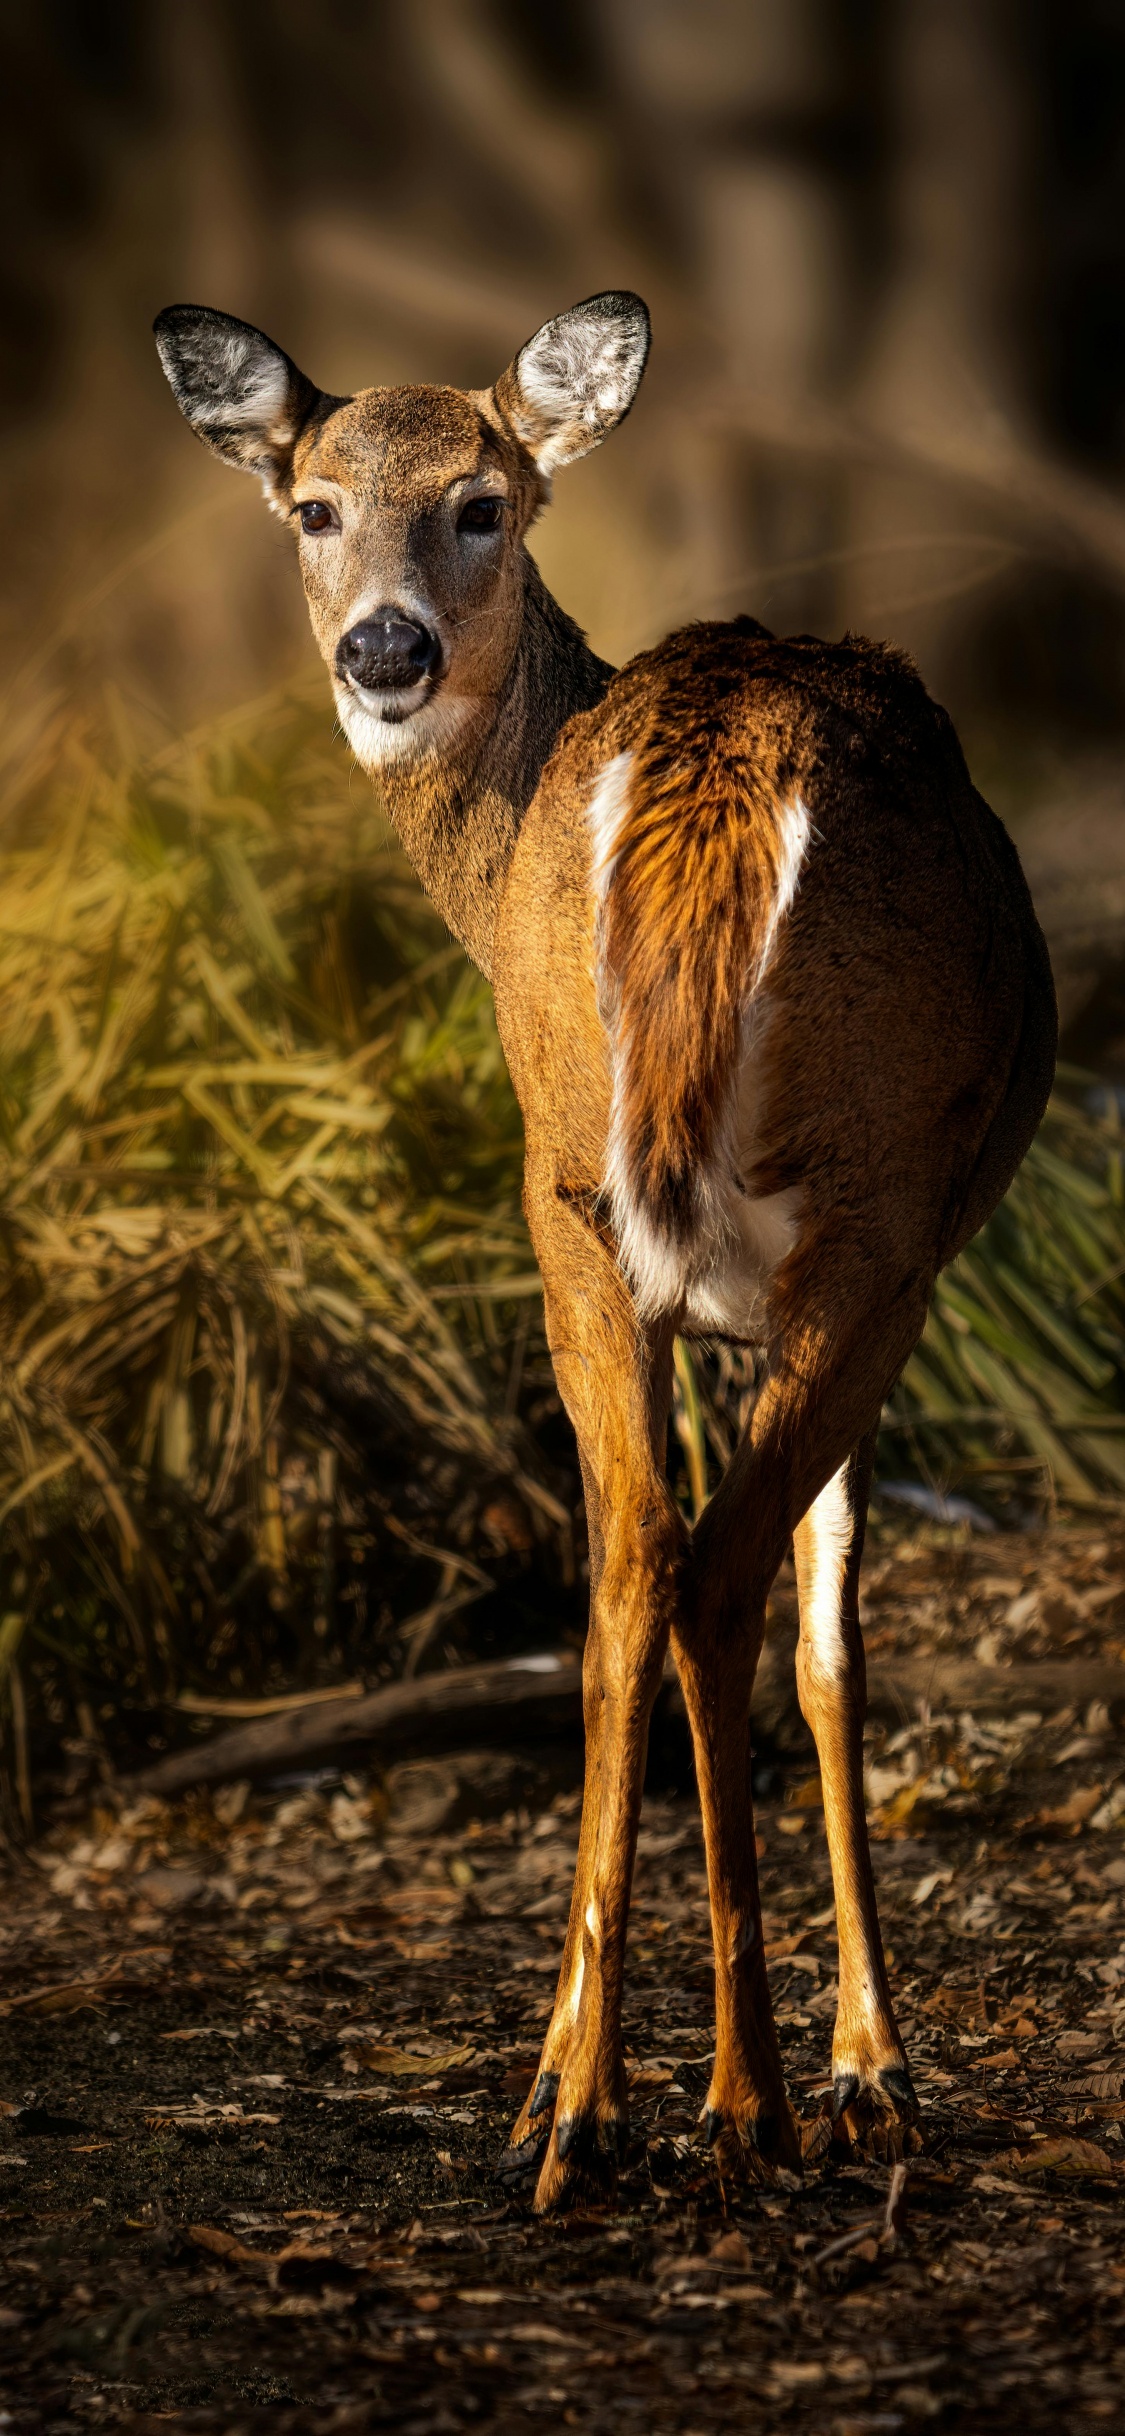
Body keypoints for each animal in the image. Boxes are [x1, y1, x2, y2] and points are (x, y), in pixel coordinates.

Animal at [155, 290, 1056, 2212]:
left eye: (483, 501)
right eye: (312, 506)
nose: (388, 648)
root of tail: (713, 757)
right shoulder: (850, 1270)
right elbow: (832, 1640)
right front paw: (872, 2067)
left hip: (577, 1178)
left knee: (633, 1571)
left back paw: (581, 2101)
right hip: (861, 1209)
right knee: (713, 1576)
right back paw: (746, 2101)